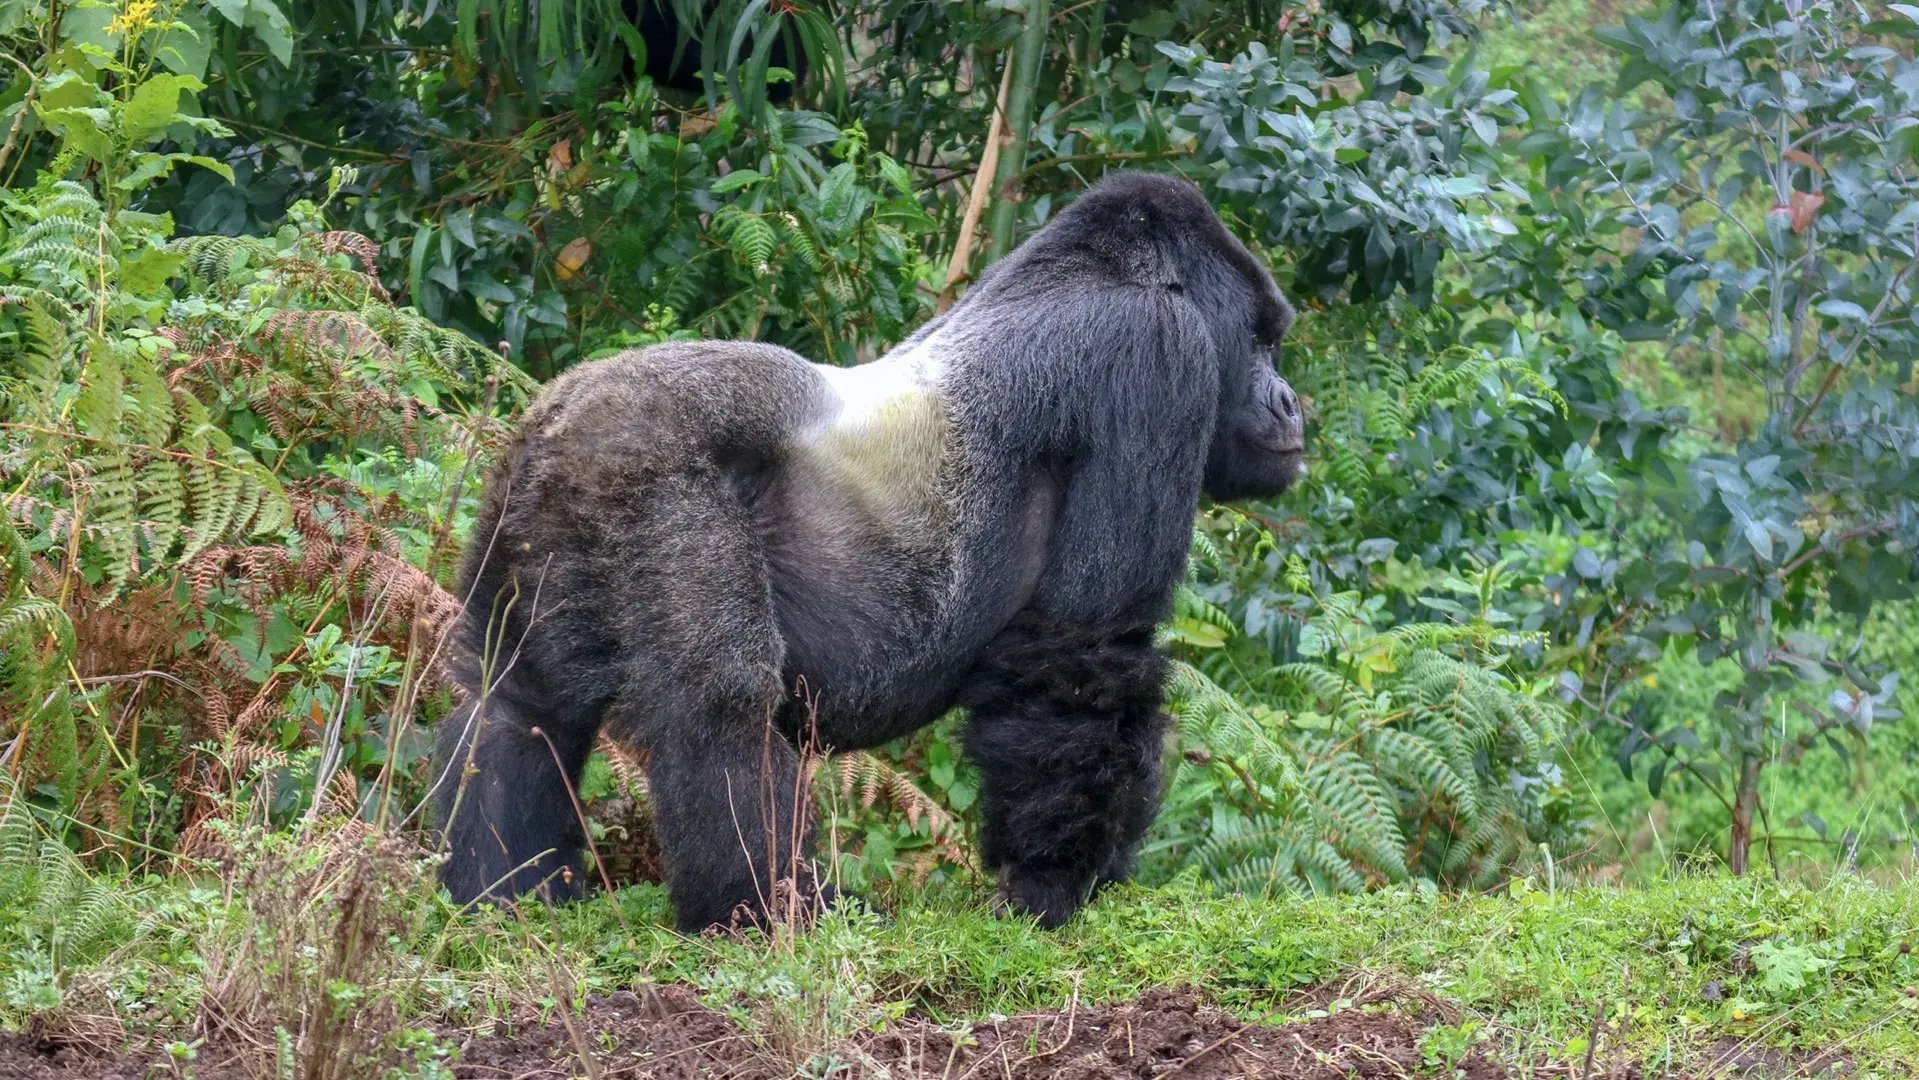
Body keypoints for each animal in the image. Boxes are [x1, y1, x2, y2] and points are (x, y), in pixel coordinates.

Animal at [435, 173, 1304, 932]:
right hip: (647, 469)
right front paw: (1052, 886)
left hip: (533, 497)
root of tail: (562, 415)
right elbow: (1083, 650)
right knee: (721, 709)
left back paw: (502, 892)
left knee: (510, 705)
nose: (1291, 403)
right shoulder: (1156, 357)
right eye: (1261, 342)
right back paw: (773, 911)